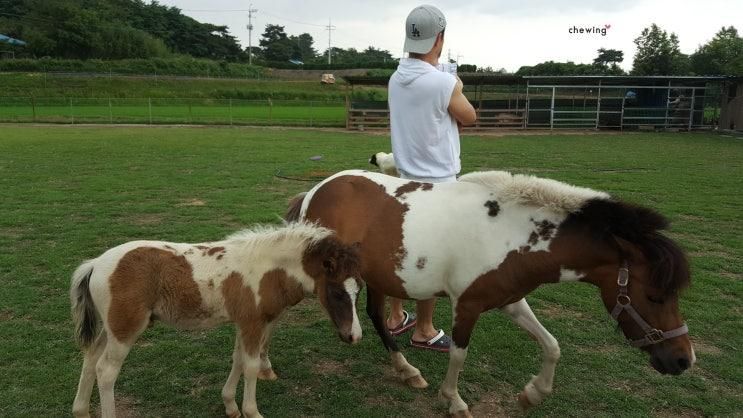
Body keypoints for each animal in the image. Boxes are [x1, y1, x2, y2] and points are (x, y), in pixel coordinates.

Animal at [68, 224, 364, 418]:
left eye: (359, 290)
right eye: (337, 292)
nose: (354, 336)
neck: (268, 270)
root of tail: (95, 263)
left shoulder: (244, 323)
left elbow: (238, 360)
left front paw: (230, 406)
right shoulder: (253, 323)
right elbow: (251, 366)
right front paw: (252, 411)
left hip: (110, 328)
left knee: (90, 357)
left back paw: (81, 411)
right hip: (125, 329)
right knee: (106, 370)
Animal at [288, 171, 696, 418]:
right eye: (655, 296)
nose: (683, 360)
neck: (509, 234)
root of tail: (316, 189)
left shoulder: (511, 301)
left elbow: (552, 345)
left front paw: (533, 394)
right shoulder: (466, 305)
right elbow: (458, 354)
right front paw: (454, 401)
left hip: (376, 276)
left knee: (376, 314)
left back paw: (406, 370)